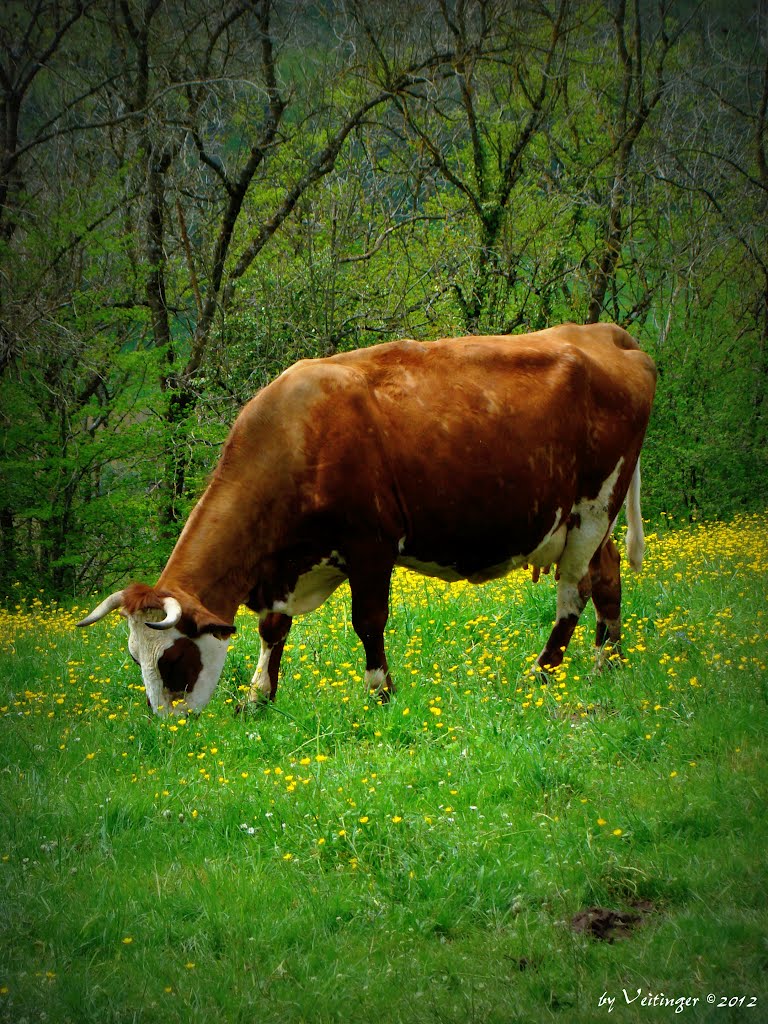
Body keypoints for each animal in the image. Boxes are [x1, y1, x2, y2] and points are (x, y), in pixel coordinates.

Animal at [76, 323, 655, 716]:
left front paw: (380, 692)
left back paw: (543, 672)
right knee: (606, 577)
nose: (165, 727)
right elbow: (272, 628)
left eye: (171, 661)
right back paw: (607, 661)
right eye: (135, 659)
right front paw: (259, 697)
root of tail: (604, 333)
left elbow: (368, 621)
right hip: (586, 518)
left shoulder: (371, 544)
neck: (295, 435)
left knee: (572, 593)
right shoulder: (284, 567)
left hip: (594, 507)